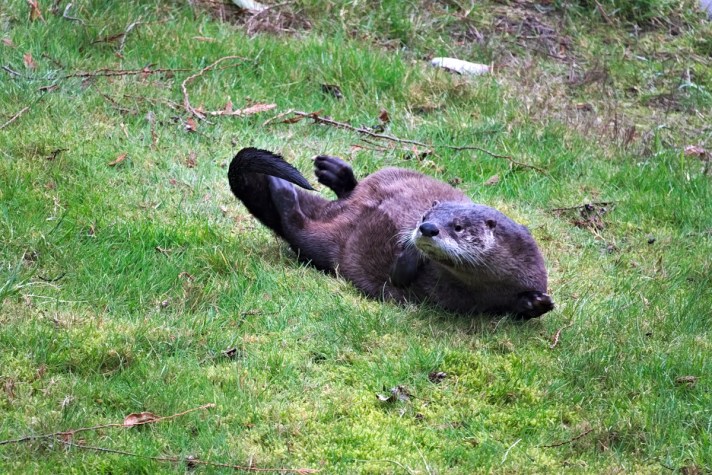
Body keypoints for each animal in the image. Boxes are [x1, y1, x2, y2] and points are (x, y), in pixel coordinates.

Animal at [228, 147, 554, 319]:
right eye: (425, 217)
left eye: (458, 227)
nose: (426, 228)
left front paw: (537, 303)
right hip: (334, 238)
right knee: (297, 226)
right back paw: (292, 186)